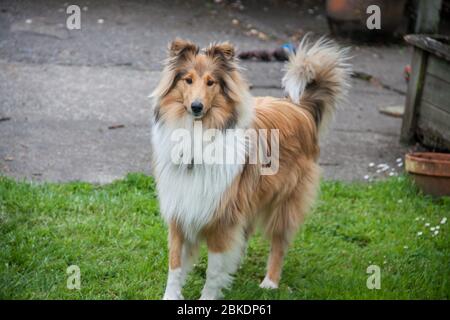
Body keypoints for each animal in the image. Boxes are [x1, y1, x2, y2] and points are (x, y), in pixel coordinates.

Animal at [151, 37, 352, 300]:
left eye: (211, 82)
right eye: (188, 80)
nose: (196, 107)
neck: (198, 134)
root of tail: (300, 108)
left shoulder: (221, 218)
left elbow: (213, 271)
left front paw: (209, 296)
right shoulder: (180, 211)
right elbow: (175, 265)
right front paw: (171, 295)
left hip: (285, 202)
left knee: (279, 244)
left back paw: (270, 282)